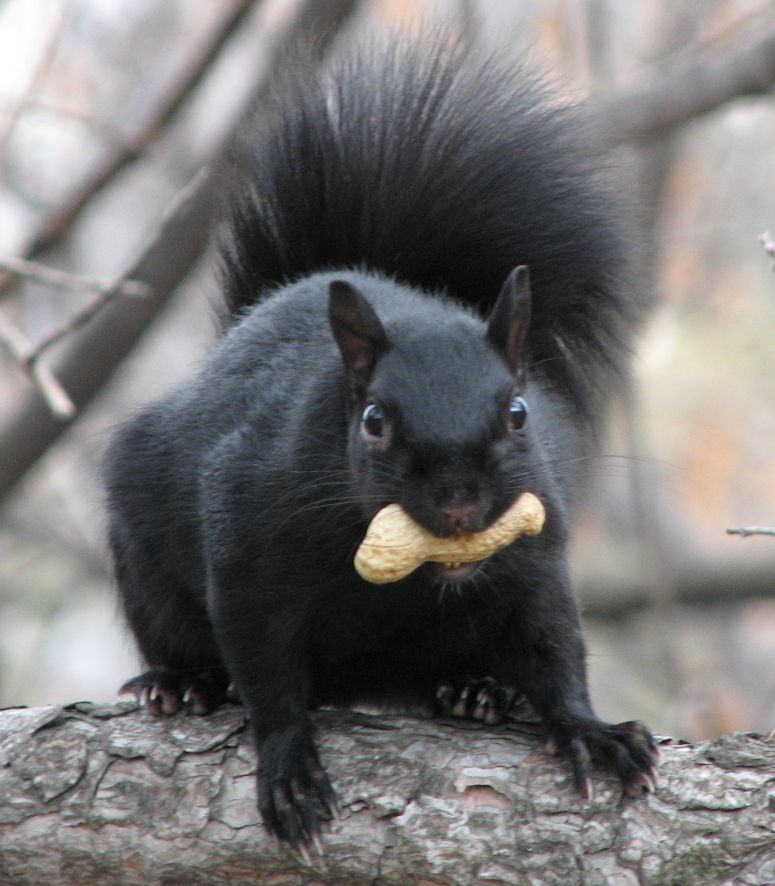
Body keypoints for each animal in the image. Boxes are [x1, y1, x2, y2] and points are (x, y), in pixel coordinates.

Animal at [103, 36, 656, 852]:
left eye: (519, 413)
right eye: (373, 421)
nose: (459, 502)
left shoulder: (534, 551)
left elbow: (553, 644)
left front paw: (591, 730)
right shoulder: (245, 536)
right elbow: (266, 668)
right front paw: (289, 767)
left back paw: (475, 691)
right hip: (144, 546)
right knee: (179, 632)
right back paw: (181, 683)